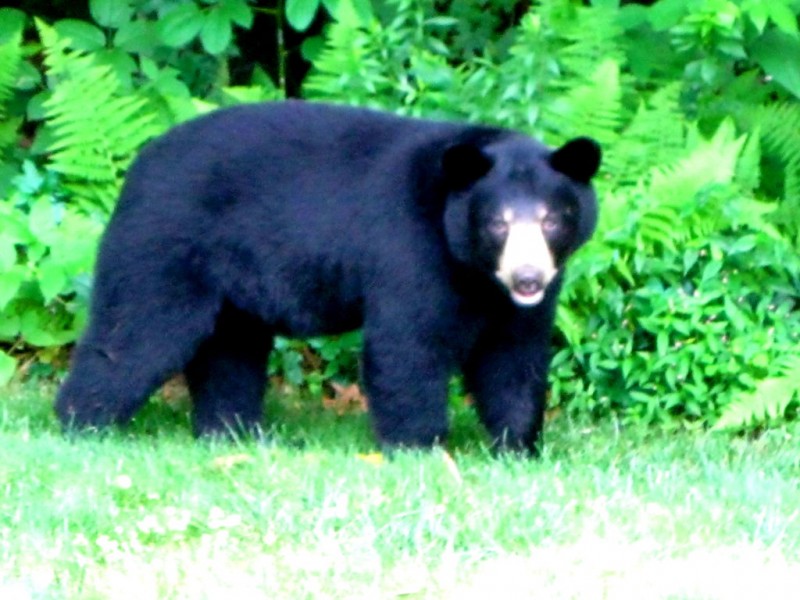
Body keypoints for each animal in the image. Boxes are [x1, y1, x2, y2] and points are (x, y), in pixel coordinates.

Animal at [55, 100, 600, 453]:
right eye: (497, 223)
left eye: (552, 219)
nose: (527, 278)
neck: (475, 272)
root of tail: (140, 164)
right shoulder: (412, 247)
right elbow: (407, 343)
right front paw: (419, 447)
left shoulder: (517, 301)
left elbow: (514, 359)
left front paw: (519, 447)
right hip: (166, 244)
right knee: (137, 332)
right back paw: (82, 424)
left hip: (231, 283)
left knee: (229, 350)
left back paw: (232, 433)